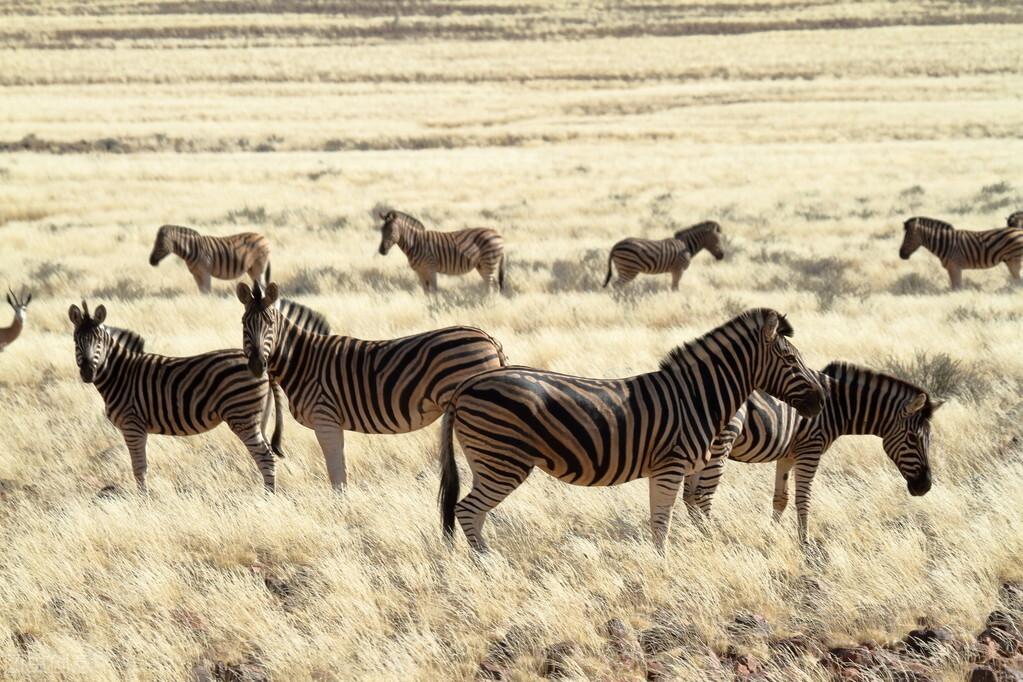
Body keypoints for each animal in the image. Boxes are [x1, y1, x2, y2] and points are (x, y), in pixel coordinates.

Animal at [71, 300, 284, 492]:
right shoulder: (138, 428)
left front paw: (142, 501)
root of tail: (263, 367)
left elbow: (139, 468)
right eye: (75, 341)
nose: (88, 373)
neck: (120, 374)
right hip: (257, 418)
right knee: (267, 454)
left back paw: (267, 498)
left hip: (242, 415)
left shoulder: (132, 425)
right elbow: (141, 466)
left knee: (265, 457)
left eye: (99, 341)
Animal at [239, 280, 511, 488]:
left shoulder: (325, 419)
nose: (257, 365)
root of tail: (488, 338)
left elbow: (336, 475)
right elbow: (340, 472)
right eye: (244, 324)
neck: (304, 359)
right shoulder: (332, 422)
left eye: (270, 324)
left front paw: (341, 512)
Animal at [435, 306, 826, 552]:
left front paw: (690, 552)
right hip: (503, 459)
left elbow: (678, 514)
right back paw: (488, 565)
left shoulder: (678, 468)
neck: (697, 397)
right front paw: (664, 566)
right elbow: (663, 523)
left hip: (488, 460)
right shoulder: (670, 466)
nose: (821, 399)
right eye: (790, 359)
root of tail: (467, 385)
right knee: (468, 511)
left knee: (471, 513)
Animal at [597, 221, 728, 290]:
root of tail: (616, 245)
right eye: (717, 239)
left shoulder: (675, 271)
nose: (722, 256)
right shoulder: (678, 269)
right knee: (617, 286)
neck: (686, 246)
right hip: (629, 269)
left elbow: (674, 287)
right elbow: (675, 288)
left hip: (623, 269)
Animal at [683, 361, 937, 543]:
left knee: (689, 496)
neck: (837, 406)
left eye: (930, 439)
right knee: (702, 495)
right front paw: (804, 543)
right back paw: (710, 538)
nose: (925, 486)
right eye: (913, 438)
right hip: (721, 444)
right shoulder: (810, 450)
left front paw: (772, 537)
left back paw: (699, 537)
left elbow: (781, 499)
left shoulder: (787, 455)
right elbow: (803, 498)